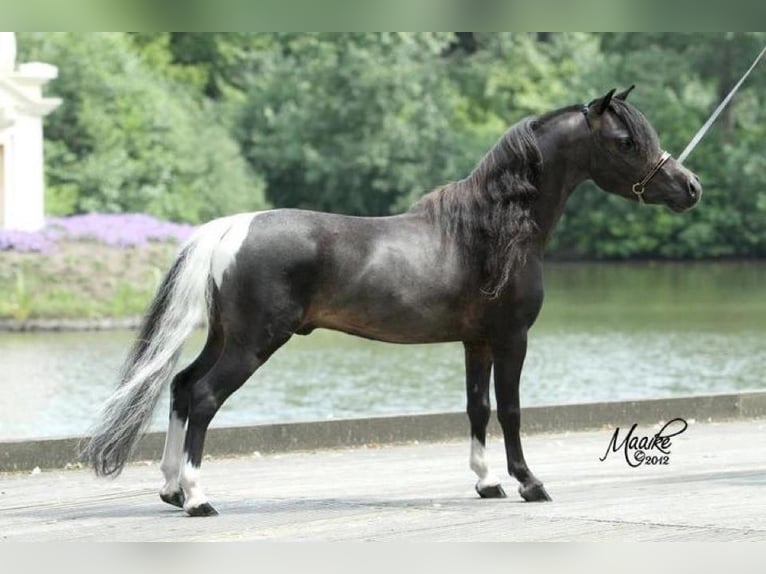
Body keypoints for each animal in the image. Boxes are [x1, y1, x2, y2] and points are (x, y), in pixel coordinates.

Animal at [82, 87, 702, 516]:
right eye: (625, 142)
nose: (690, 187)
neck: (489, 230)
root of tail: (231, 227)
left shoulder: (476, 342)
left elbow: (477, 408)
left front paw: (487, 483)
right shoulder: (512, 339)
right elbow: (511, 410)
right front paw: (530, 483)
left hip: (225, 337)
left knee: (183, 388)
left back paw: (169, 489)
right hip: (252, 344)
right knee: (205, 397)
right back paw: (197, 498)